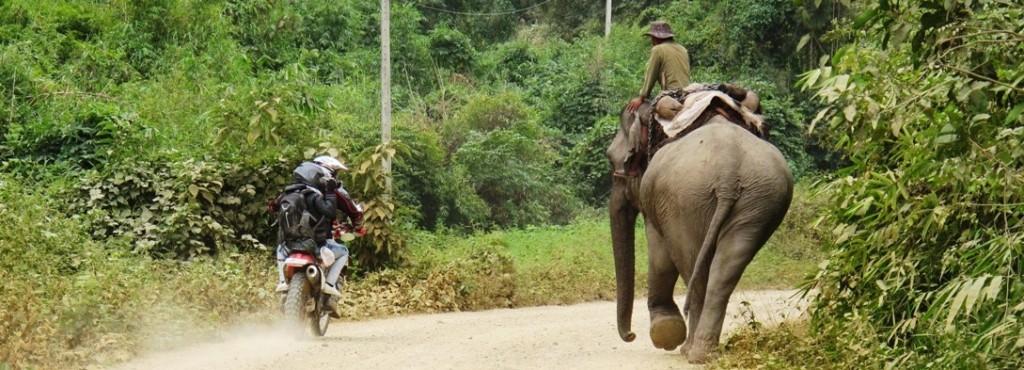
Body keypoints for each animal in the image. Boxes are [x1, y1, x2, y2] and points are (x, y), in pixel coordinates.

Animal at [602, 97, 794, 362]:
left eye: (612, 159)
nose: (631, 335)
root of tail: (728, 174)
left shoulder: (659, 201)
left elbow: (659, 255)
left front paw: (665, 333)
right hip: (758, 199)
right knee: (725, 269)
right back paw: (703, 352)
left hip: (686, 200)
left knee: (691, 263)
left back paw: (690, 350)